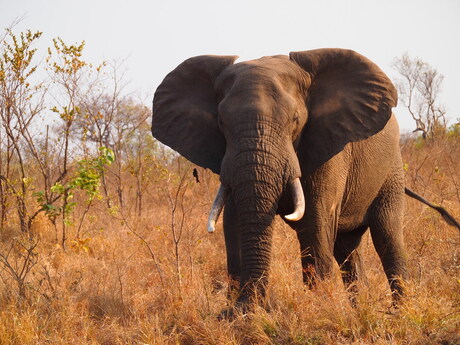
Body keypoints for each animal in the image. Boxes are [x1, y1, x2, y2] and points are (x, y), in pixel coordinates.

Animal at [152, 49, 460, 318]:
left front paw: (319, 312)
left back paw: (399, 312)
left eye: (295, 120)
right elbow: (235, 220)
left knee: (387, 236)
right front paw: (236, 314)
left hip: (391, 170)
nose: (247, 307)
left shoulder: (329, 147)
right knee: (347, 249)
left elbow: (314, 222)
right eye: (220, 123)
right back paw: (359, 309)